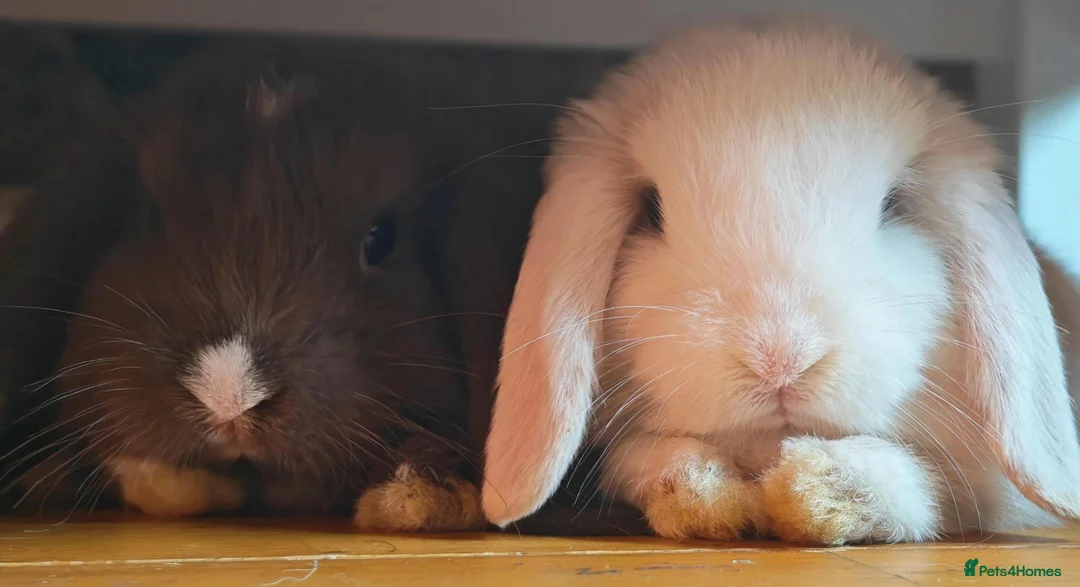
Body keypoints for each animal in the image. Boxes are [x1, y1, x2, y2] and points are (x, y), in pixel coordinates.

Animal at [481, 18, 1080, 545]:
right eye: (651, 210)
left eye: (894, 205)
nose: (779, 359)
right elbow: (639, 458)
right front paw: (704, 493)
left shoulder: (975, 485)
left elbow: (924, 486)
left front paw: (817, 490)